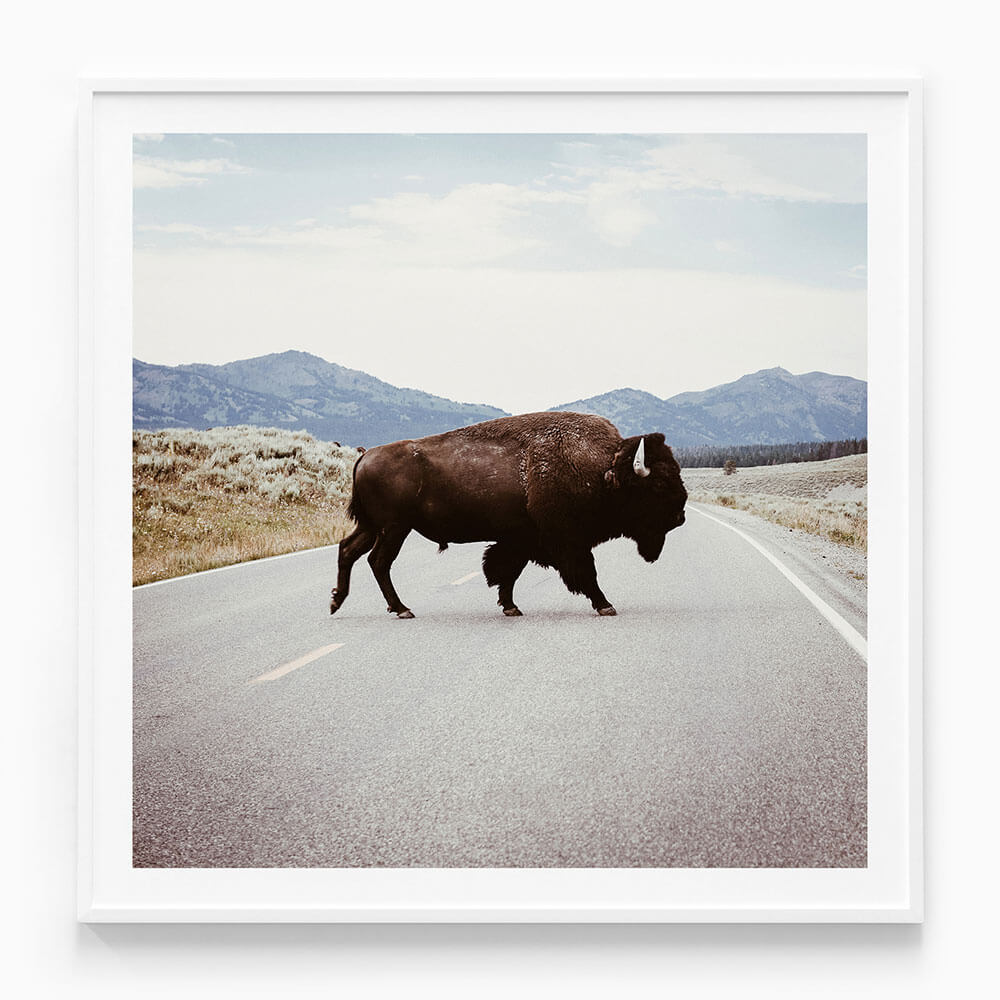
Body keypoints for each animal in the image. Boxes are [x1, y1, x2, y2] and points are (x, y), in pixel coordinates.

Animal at [330, 411, 687, 618]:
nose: (681, 515)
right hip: (394, 528)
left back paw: (338, 601)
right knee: (378, 561)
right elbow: (586, 573)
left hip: (373, 526)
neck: (603, 470)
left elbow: (507, 572)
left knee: (349, 550)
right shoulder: (566, 540)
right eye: (658, 483)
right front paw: (605, 605)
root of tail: (364, 456)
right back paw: (401, 609)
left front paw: (511, 607)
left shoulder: (522, 539)